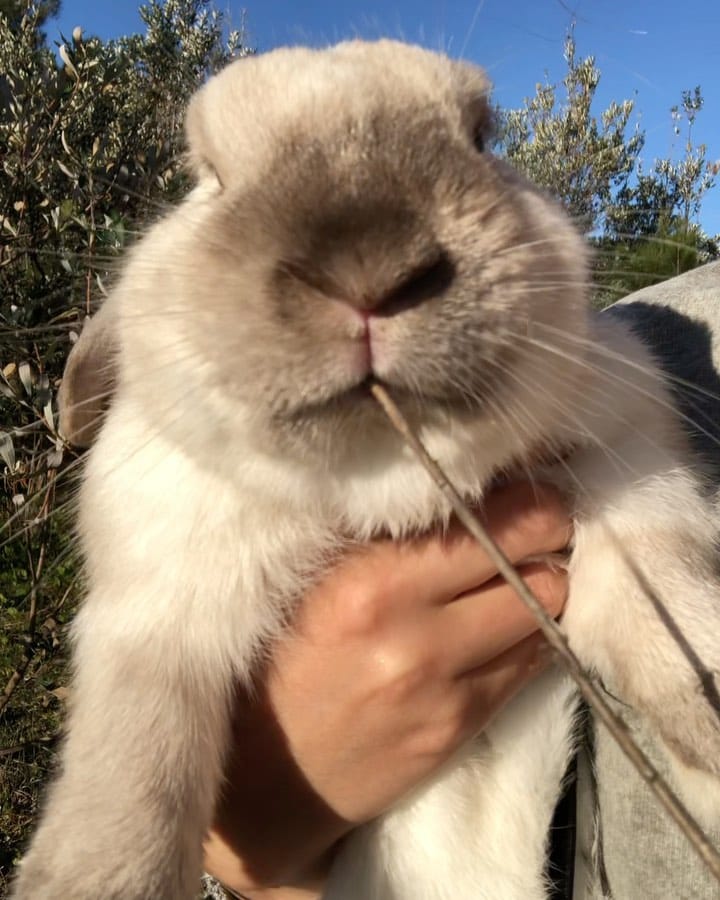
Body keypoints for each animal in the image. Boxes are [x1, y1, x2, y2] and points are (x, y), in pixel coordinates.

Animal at [12, 39, 720, 900]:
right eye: (208, 173)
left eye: (481, 135)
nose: (367, 268)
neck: (382, 487)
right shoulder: (155, 613)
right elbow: (131, 780)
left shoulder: (634, 460)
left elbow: (663, 611)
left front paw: (710, 733)